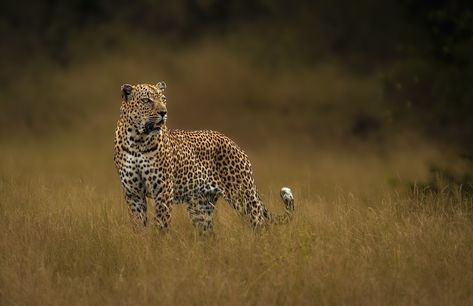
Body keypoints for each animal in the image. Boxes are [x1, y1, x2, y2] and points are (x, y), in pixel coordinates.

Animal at [113, 81, 294, 232]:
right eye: (146, 100)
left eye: (163, 99)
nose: (163, 112)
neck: (138, 140)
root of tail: (233, 143)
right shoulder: (133, 193)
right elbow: (139, 225)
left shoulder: (163, 191)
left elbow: (161, 225)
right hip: (200, 207)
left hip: (243, 195)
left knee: (260, 224)